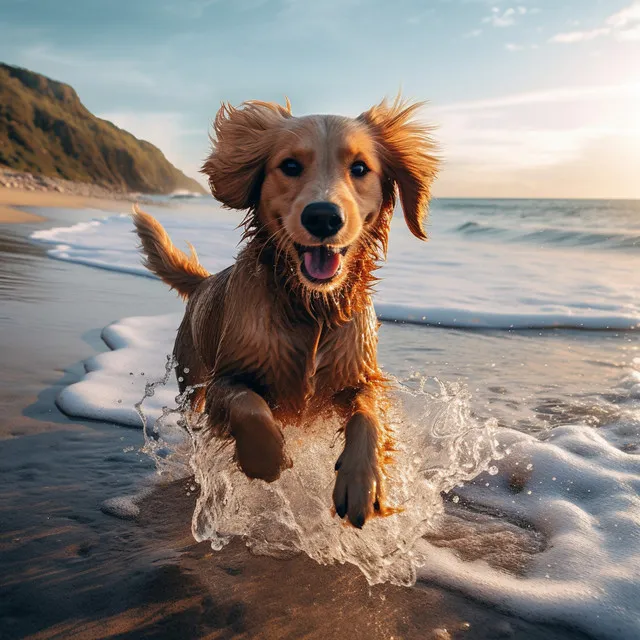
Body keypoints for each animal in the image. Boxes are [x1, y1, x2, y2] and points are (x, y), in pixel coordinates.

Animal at [132, 95, 438, 524]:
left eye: (360, 168)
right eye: (290, 166)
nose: (323, 217)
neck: (311, 307)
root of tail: (205, 281)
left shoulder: (360, 374)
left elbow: (369, 414)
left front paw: (362, 482)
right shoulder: (226, 376)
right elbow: (248, 405)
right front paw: (265, 458)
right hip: (192, 381)